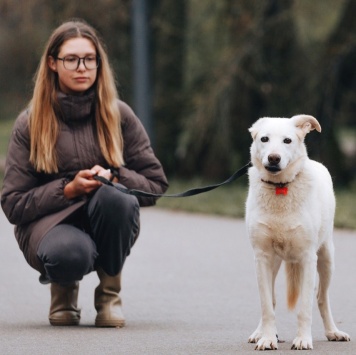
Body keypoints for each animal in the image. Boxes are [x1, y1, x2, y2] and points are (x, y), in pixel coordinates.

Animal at [245, 116, 350, 350]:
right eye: (264, 139)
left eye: (287, 140)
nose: (273, 158)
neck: (280, 188)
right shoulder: (261, 257)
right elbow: (267, 305)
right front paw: (267, 338)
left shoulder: (308, 258)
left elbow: (305, 307)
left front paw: (303, 339)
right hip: (274, 263)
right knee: (272, 299)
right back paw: (259, 333)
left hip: (326, 259)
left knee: (321, 297)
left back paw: (333, 332)